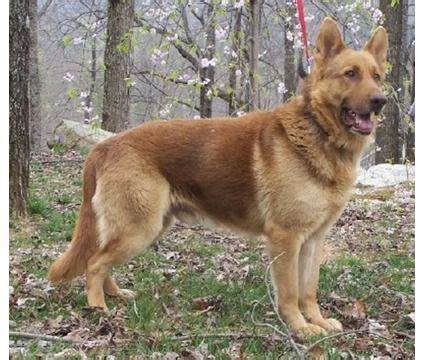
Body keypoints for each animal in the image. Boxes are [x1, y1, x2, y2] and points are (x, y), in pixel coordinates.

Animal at [48, 19, 388, 334]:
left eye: (377, 76)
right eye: (350, 74)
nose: (380, 100)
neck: (319, 131)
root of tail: (105, 145)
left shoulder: (313, 240)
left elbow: (309, 290)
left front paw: (316, 321)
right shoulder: (286, 238)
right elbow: (291, 293)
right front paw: (299, 328)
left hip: (146, 227)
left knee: (102, 262)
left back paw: (115, 294)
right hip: (139, 229)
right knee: (95, 263)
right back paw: (98, 308)